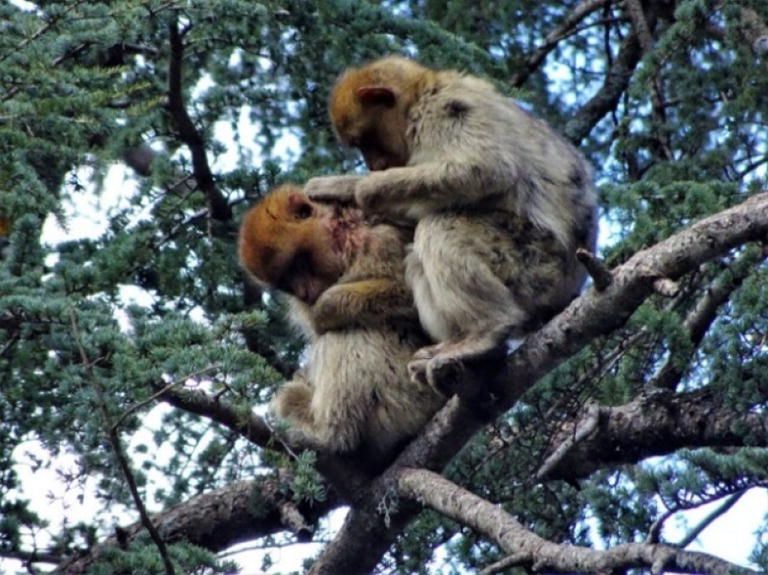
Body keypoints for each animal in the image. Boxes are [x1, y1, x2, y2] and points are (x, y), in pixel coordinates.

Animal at [238, 184, 445, 459]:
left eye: (298, 264)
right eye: (286, 282)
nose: (305, 293)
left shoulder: (377, 241)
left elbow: (415, 298)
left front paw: (326, 307)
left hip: (409, 397)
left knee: (348, 333)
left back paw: (328, 434)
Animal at [304, 56, 598, 392]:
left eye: (365, 140)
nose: (373, 165)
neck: (423, 93)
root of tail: (571, 287)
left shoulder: (442, 112)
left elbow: (484, 170)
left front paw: (356, 188)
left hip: (535, 265)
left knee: (439, 227)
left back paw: (486, 332)